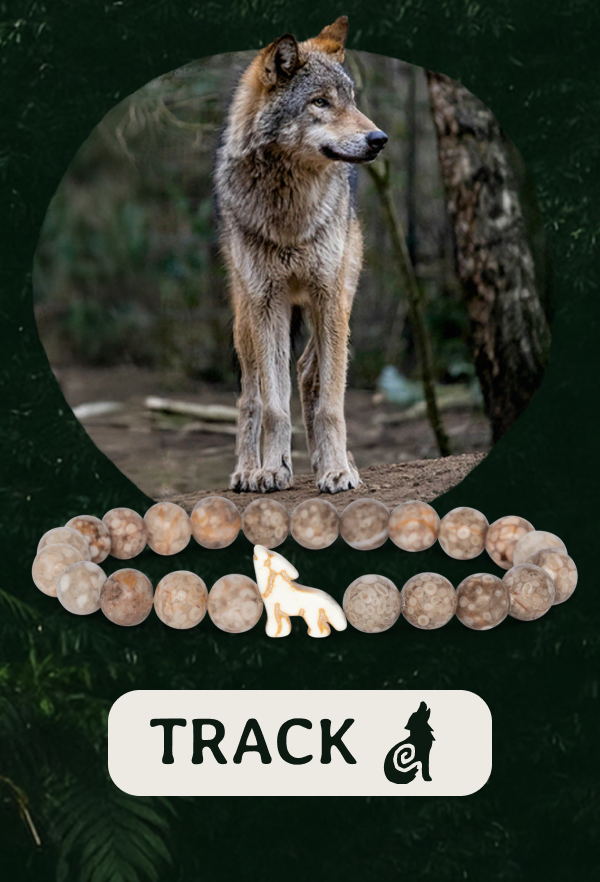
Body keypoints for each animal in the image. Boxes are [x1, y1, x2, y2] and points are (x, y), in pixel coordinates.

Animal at [215, 16, 387, 494]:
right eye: (320, 102)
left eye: (350, 101)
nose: (379, 139)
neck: (289, 211)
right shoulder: (268, 303)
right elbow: (274, 405)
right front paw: (272, 469)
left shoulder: (328, 295)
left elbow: (331, 402)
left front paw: (336, 469)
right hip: (245, 319)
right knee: (250, 394)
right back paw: (247, 469)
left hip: (340, 300)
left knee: (311, 371)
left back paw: (335, 462)